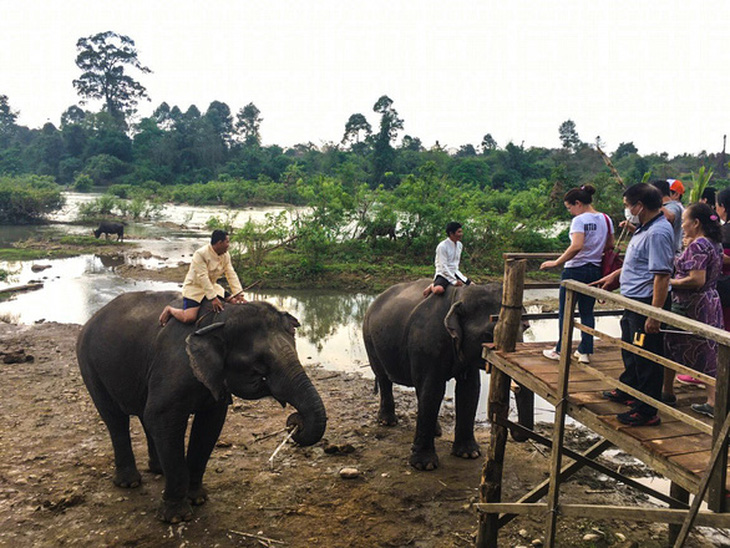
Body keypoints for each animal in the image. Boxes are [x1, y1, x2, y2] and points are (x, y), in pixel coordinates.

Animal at [77, 292, 324, 524]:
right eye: (259, 364)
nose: (295, 422)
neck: (218, 319)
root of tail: (92, 318)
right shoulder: (174, 367)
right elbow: (162, 417)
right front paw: (176, 517)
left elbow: (208, 425)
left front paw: (198, 499)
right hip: (89, 364)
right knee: (115, 418)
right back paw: (130, 483)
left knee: (145, 417)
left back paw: (158, 470)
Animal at [362, 278, 504, 470]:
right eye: (489, 334)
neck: (458, 296)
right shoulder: (427, 340)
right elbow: (433, 390)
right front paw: (425, 466)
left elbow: (469, 390)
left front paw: (469, 454)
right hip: (369, 338)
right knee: (384, 378)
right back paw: (387, 422)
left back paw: (436, 430)